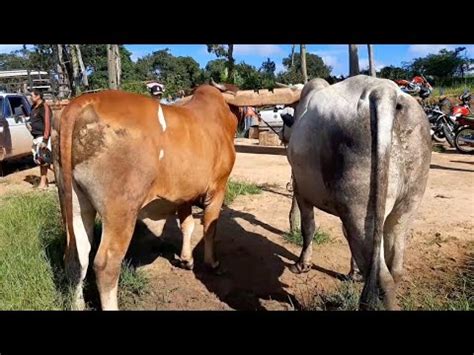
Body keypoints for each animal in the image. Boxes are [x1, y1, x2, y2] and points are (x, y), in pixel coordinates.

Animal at [51, 82, 239, 310]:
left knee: (76, 256)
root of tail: (84, 101)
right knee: (106, 264)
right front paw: (212, 263)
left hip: (73, 202)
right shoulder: (218, 187)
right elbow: (210, 228)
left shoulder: (183, 195)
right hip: (122, 209)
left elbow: (187, 226)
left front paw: (186, 260)